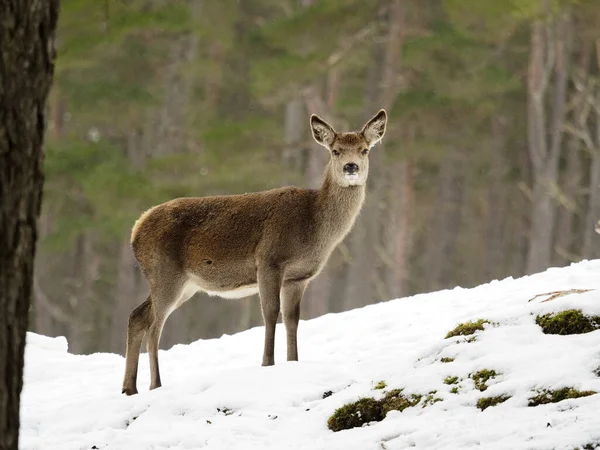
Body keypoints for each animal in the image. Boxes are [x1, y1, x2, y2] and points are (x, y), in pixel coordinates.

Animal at [120, 109, 390, 394]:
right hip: (166, 272)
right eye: (336, 151)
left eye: (364, 150)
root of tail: (135, 230)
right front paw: (267, 363)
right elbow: (270, 313)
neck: (314, 226)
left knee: (138, 316)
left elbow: (292, 319)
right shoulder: (269, 259)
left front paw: (293, 362)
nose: (351, 167)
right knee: (153, 326)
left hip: (185, 284)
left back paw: (129, 387)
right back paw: (155, 385)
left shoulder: (298, 277)